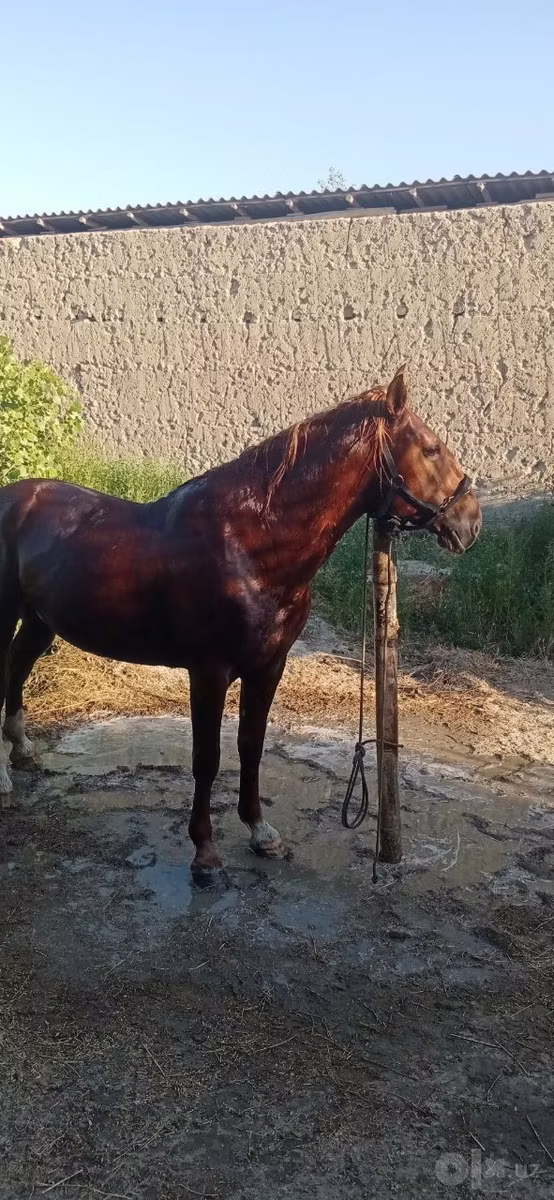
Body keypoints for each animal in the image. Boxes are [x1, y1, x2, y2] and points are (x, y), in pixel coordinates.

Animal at [0, 367, 481, 875]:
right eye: (430, 449)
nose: (471, 522)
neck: (251, 545)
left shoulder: (269, 666)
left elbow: (251, 745)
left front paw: (261, 832)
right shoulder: (208, 671)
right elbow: (207, 758)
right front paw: (204, 850)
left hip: (40, 622)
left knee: (18, 668)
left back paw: (22, 751)